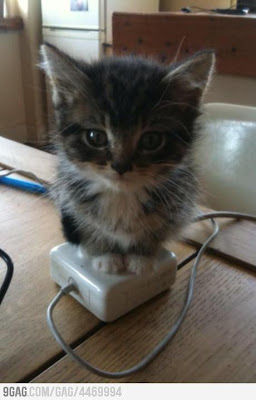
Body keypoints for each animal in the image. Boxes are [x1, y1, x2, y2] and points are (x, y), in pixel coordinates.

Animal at [41, 44, 215, 276]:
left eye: (151, 140)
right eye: (95, 137)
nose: (120, 166)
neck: (122, 196)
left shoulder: (179, 199)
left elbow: (156, 232)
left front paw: (141, 257)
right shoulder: (71, 197)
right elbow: (89, 226)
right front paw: (105, 255)